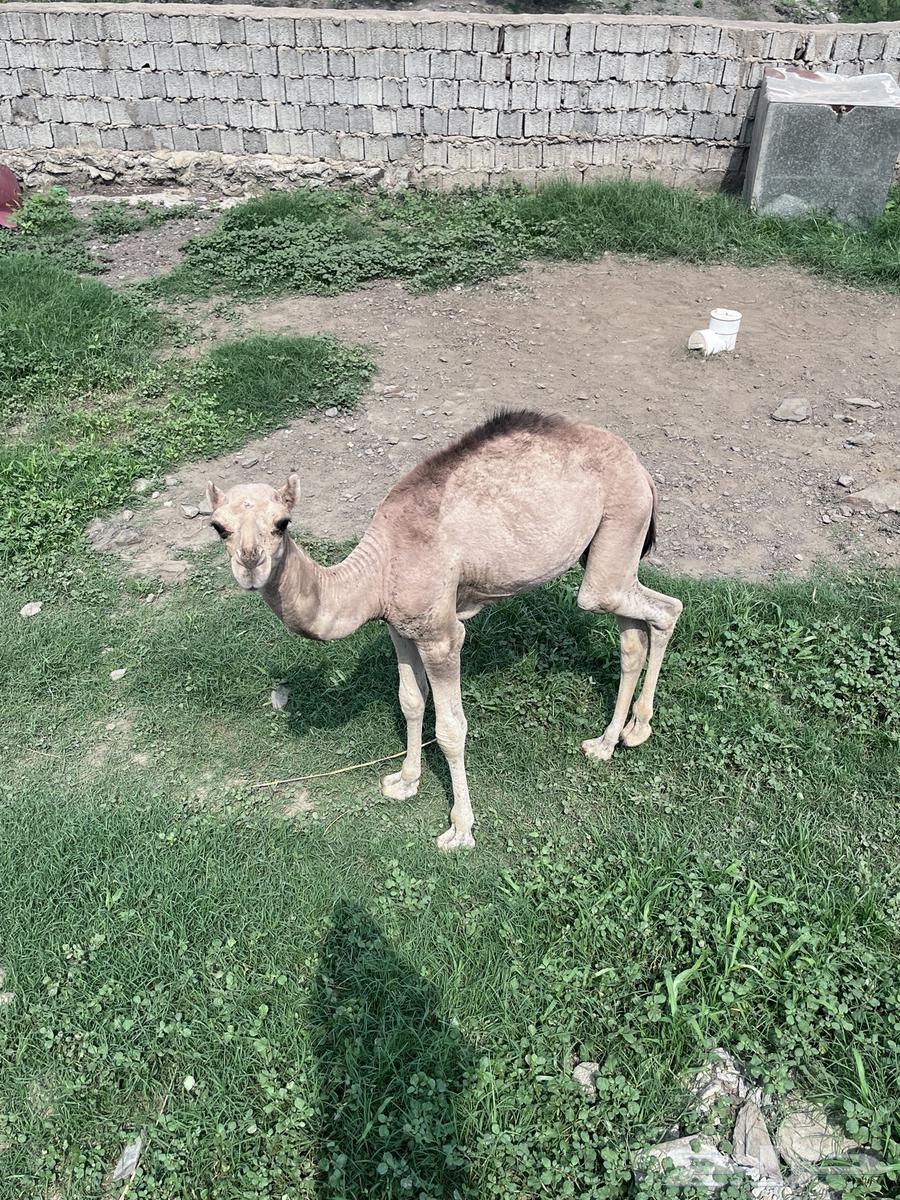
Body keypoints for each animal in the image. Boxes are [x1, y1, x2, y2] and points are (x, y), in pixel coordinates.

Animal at [207, 410, 682, 850]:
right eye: (218, 527)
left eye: (282, 523)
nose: (250, 563)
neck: (379, 569)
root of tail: (641, 469)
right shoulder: (399, 627)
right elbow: (410, 701)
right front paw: (404, 781)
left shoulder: (441, 635)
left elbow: (451, 729)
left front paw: (460, 828)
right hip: (607, 553)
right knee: (633, 635)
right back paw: (609, 741)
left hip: (620, 525)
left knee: (664, 609)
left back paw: (635, 730)